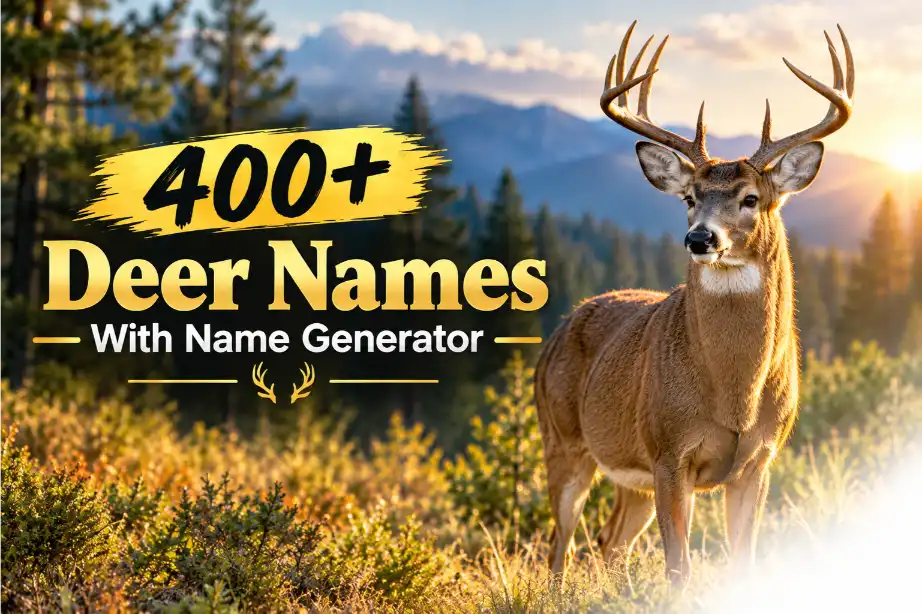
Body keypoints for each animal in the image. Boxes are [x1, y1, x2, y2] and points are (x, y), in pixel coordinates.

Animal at [535, 21, 854, 587]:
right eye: (689, 197)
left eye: (751, 198)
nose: (700, 237)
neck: (734, 396)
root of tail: (553, 335)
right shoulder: (668, 452)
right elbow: (679, 569)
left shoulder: (759, 460)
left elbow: (742, 564)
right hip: (563, 439)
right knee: (561, 548)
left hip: (629, 479)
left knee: (609, 543)